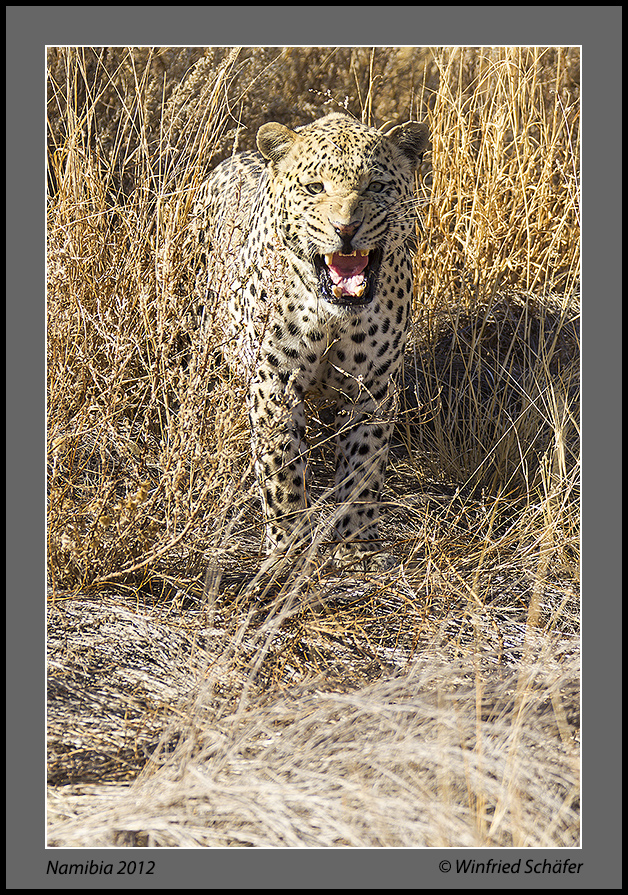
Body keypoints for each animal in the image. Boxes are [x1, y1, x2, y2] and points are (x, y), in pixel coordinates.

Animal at [190, 110, 426, 568]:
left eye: (376, 187)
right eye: (315, 187)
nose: (346, 228)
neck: (334, 318)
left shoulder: (371, 389)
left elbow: (362, 468)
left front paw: (356, 544)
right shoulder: (275, 384)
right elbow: (282, 469)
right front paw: (287, 550)